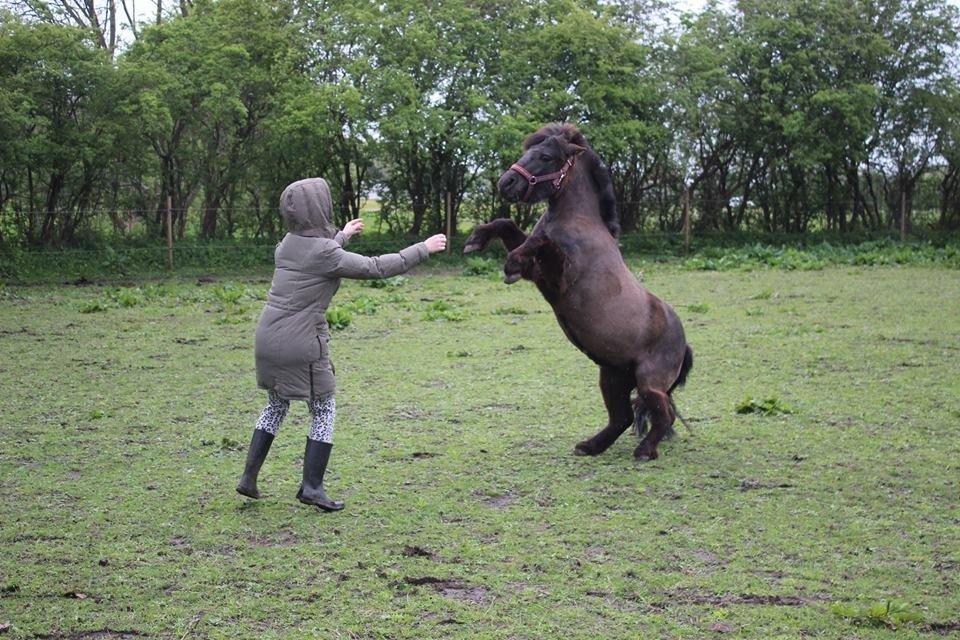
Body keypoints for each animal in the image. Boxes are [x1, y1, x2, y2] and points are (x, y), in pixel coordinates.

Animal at [464, 122, 688, 460]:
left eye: (545, 156)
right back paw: (590, 446)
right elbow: (508, 224)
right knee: (621, 417)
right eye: (528, 150)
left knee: (664, 414)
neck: (578, 224)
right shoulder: (537, 273)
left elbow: (540, 242)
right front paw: (476, 239)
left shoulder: (556, 277)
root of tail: (684, 343)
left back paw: (644, 451)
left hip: (649, 382)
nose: (506, 183)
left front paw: (510, 262)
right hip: (612, 377)